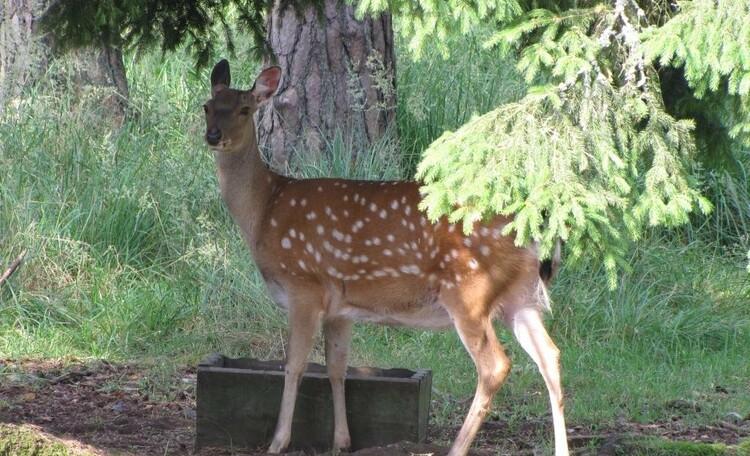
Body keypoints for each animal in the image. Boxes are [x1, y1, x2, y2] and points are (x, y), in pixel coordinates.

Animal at [204, 58, 568, 456]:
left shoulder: (304, 286)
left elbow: (295, 365)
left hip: (469, 291)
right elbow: (337, 367)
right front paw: (342, 442)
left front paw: (278, 442)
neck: (265, 209)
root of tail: (536, 227)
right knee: (550, 356)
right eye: (207, 106)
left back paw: (457, 447)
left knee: (496, 366)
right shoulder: (339, 306)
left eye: (245, 109)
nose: (212, 135)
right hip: (518, 297)